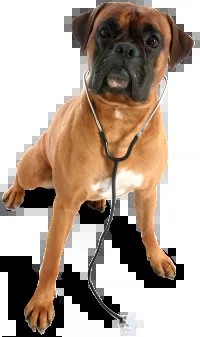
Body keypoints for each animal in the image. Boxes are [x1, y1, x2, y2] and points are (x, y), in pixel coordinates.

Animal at [1, 1, 194, 334]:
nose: (125, 48)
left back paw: (98, 201)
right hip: (34, 168)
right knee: (21, 176)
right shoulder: (65, 205)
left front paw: (157, 256)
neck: (120, 115)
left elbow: (148, 229)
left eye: (153, 41)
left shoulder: (147, 190)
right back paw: (14, 193)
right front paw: (42, 302)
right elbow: (52, 256)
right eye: (105, 31)